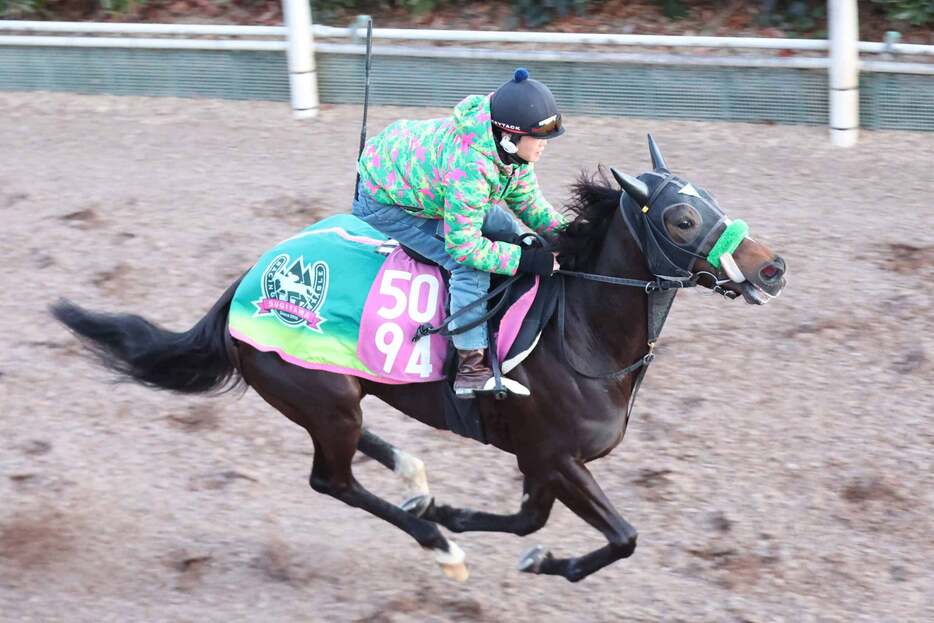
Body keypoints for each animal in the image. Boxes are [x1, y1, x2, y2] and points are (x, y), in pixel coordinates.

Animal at [53, 138, 788, 584]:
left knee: (357, 448)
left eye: (713, 200)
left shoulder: (541, 458)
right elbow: (622, 535)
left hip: (336, 396)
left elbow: (532, 520)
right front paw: (488, 542)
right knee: (331, 480)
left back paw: (414, 475)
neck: (580, 332)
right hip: (322, 397)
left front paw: (481, 527)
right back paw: (439, 545)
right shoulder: (554, 453)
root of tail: (249, 281)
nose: (772, 267)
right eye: (681, 219)